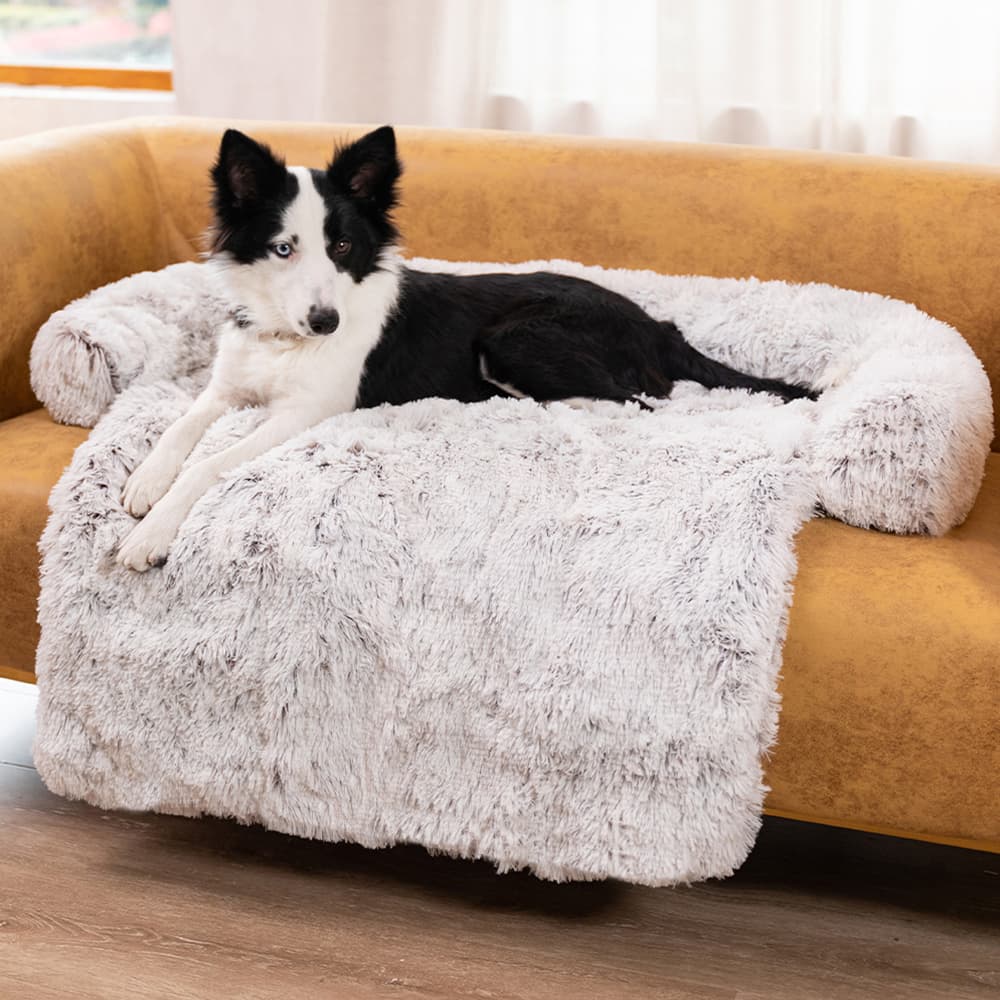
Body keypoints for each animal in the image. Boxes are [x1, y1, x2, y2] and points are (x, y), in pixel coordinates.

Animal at [115, 125, 812, 572]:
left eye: (342, 246)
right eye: (284, 247)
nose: (326, 322)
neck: (286, 338)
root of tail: (654, 323)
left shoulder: (306, 412)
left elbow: (210, 463)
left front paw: (151, 533)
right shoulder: (225, 387)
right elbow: (181, 428)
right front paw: (144, 482)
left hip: (515, 339)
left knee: (634, 403)